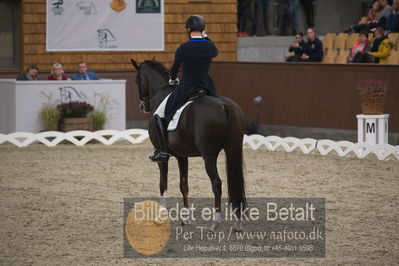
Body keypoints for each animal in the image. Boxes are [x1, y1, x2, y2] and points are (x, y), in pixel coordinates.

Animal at [131, 59, 247, 230]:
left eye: (137, 79)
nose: (142, 106)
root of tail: (224, 105)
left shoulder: (162, 156)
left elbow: (163, 184)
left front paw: (160, 217)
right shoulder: (182, 156)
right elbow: (183, 185)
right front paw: (186, 218)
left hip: (209, 156)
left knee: (217, 184)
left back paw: (215, 223)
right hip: (233, 150)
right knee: (235, 183)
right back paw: (237, 223)